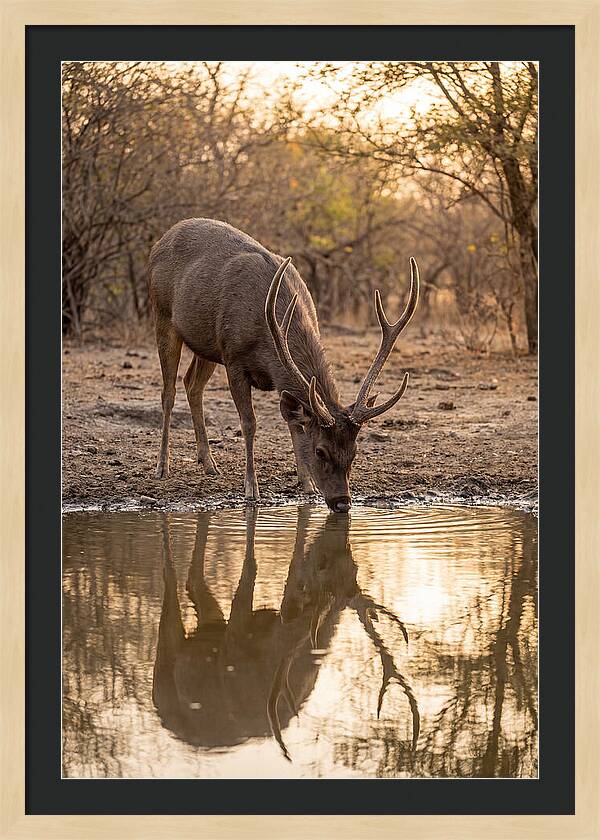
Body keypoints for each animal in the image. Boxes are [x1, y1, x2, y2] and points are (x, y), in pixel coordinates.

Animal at [148, 218, 419, 511]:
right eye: (320, 451)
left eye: (355, 452)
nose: (342, 502)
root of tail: (160, 241)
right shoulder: (233, 358)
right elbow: (249, 423)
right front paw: (251, 489)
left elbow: (294, 423)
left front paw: (307, 484)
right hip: (163, 315)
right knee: (168, 392)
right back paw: (162, 467)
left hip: (206, 344)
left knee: (192, 384)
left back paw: (209, 464)